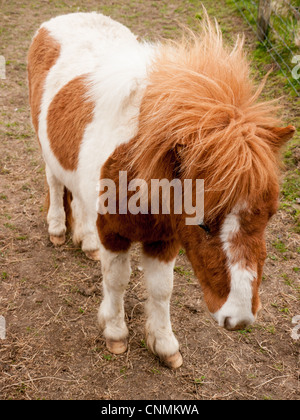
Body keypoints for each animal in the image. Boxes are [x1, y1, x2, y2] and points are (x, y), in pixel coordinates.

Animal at [28, 12, 296, 368]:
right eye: (204, 224)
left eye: (270, 217)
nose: (239, 319)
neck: (138, 169)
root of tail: (62, 19)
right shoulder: (114, 233)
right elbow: (117, 280)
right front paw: (115, 333)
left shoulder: (165, 239)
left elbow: (161, 288)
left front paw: (164, 344)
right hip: (46, 148)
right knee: (56, 181)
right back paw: (58, 228)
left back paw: (86, 241)